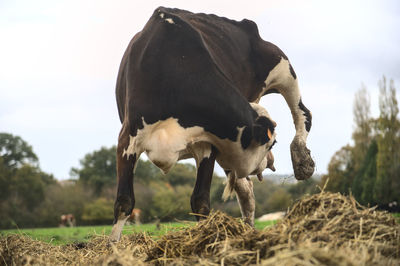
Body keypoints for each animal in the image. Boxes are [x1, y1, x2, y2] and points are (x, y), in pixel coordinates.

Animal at [110, 7, 316, 242]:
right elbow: (124, 202)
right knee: (246, 189)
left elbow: (200, 201)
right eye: (271, 144)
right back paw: (249, 227)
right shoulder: (127, 140)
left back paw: (302, 159)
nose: (270, 161)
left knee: (303, 113)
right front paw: (112, 245)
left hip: (281, 65)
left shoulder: (208, 146)